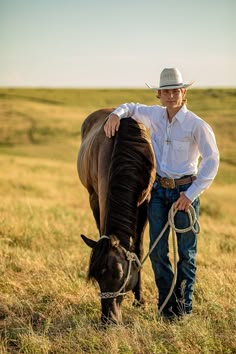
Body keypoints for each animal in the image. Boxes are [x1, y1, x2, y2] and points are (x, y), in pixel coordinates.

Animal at [77, 108, 155, 324]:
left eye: (119, 272)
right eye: (95, 277)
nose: (108, 320)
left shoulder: (145, 202)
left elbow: (138, 248)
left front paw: (140, 300)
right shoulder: (95, 198)